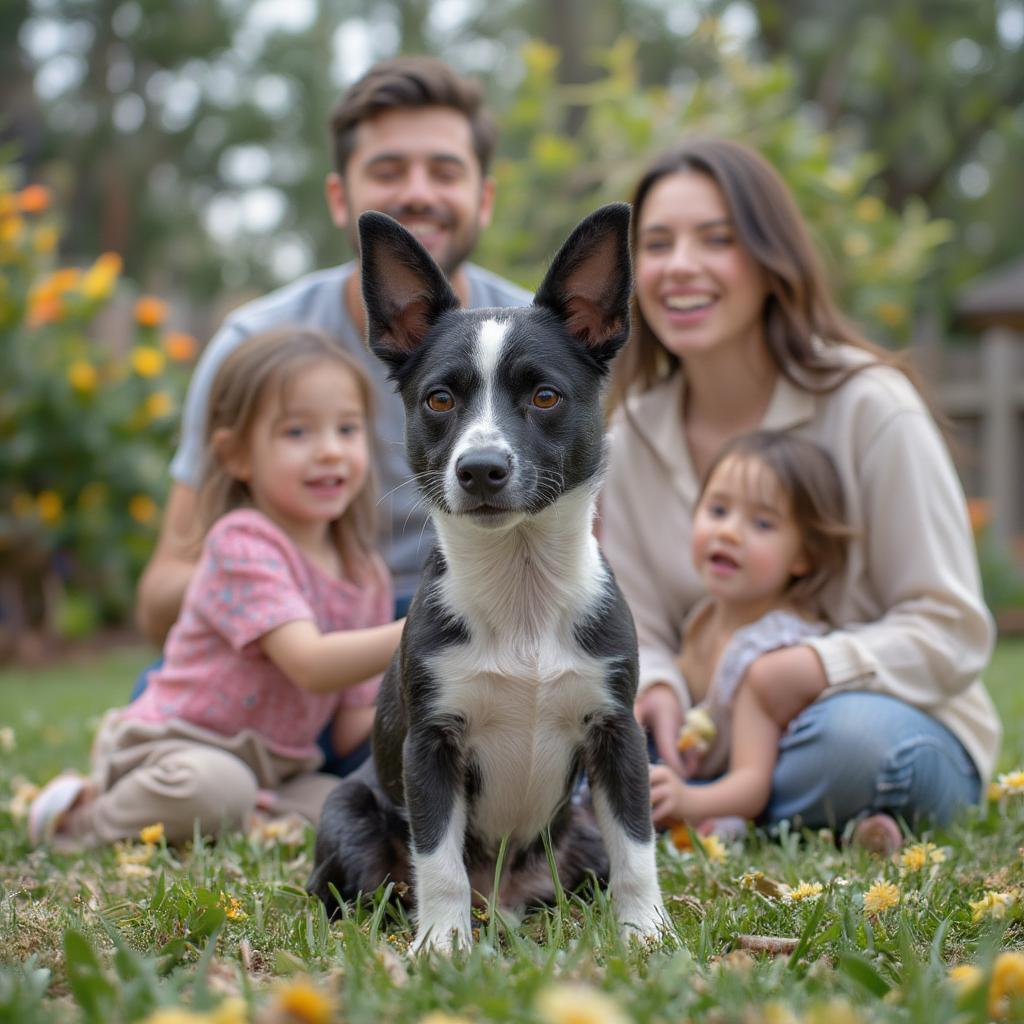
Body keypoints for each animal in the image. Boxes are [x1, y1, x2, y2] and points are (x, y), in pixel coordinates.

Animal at [307, 203, 667, 954]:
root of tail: (502, 900)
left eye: (546, 395)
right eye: (440, 400)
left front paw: (646, 933)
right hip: (346, 808)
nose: (480, 469)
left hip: (577, 834)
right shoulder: (430, 746)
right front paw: (441, 946)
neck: (521, 585)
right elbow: (438, 859)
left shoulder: (619, 736)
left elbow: (637, 848)